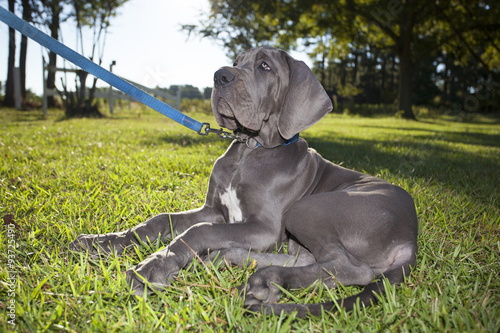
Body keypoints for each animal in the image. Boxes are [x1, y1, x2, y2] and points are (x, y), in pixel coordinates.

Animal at [71, 45, 418, 316]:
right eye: (237, 61)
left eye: (265, 67)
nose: (220, 75)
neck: (250, 149)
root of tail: (410, 238)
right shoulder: (214, 210)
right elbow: (159, 221)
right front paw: (102, 242)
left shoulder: (265, 228)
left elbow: (198, 231)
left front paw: (152, 267)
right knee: (310, 258)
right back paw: (233, 262)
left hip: (309, 209)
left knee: (352, 268)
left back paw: (267, 278)